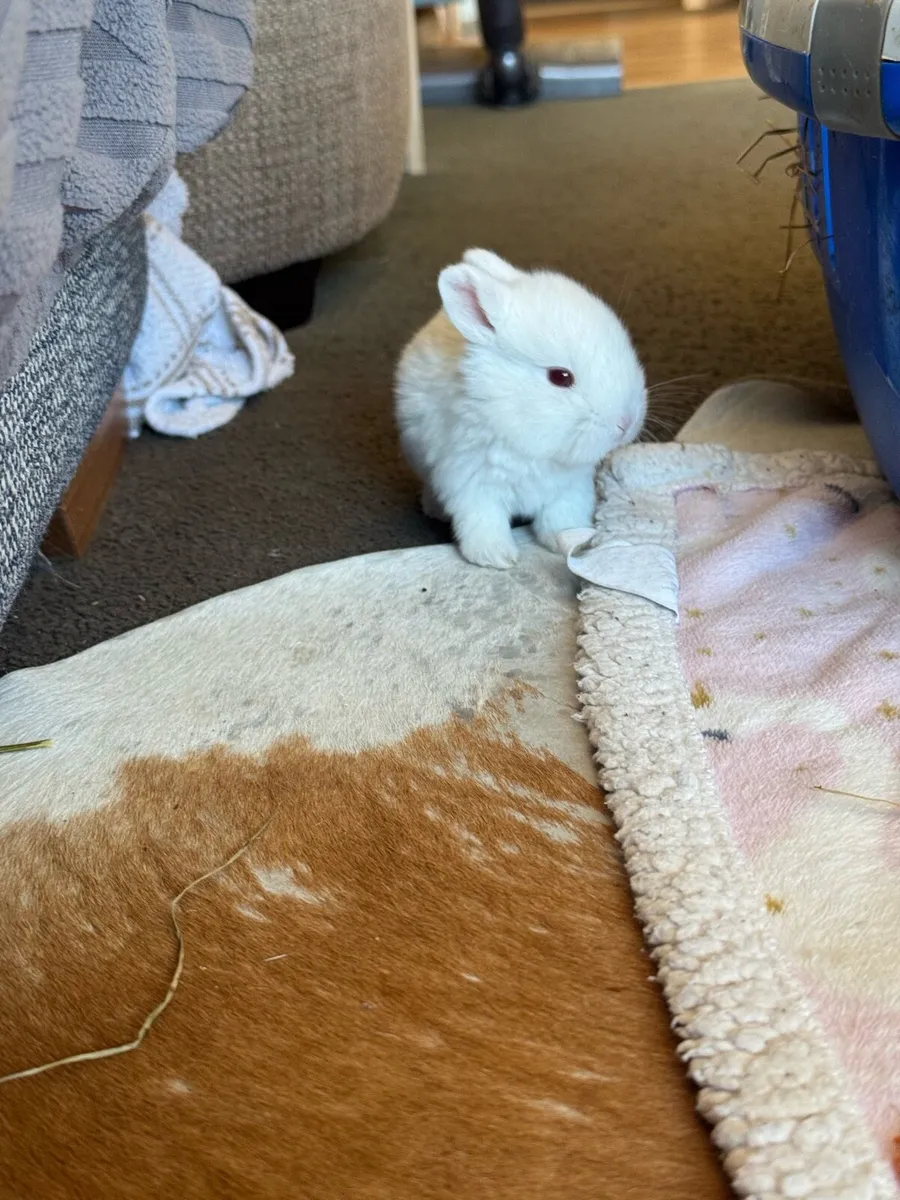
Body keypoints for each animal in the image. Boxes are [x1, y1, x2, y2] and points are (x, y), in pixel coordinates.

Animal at [395, 249, 647, 569]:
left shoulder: (570, 487)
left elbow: (562, 517)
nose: (627, 422)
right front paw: (495, 557)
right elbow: (482, 521)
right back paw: (433, 509)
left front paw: (568, 540)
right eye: (560, 377)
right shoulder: (470, 483)